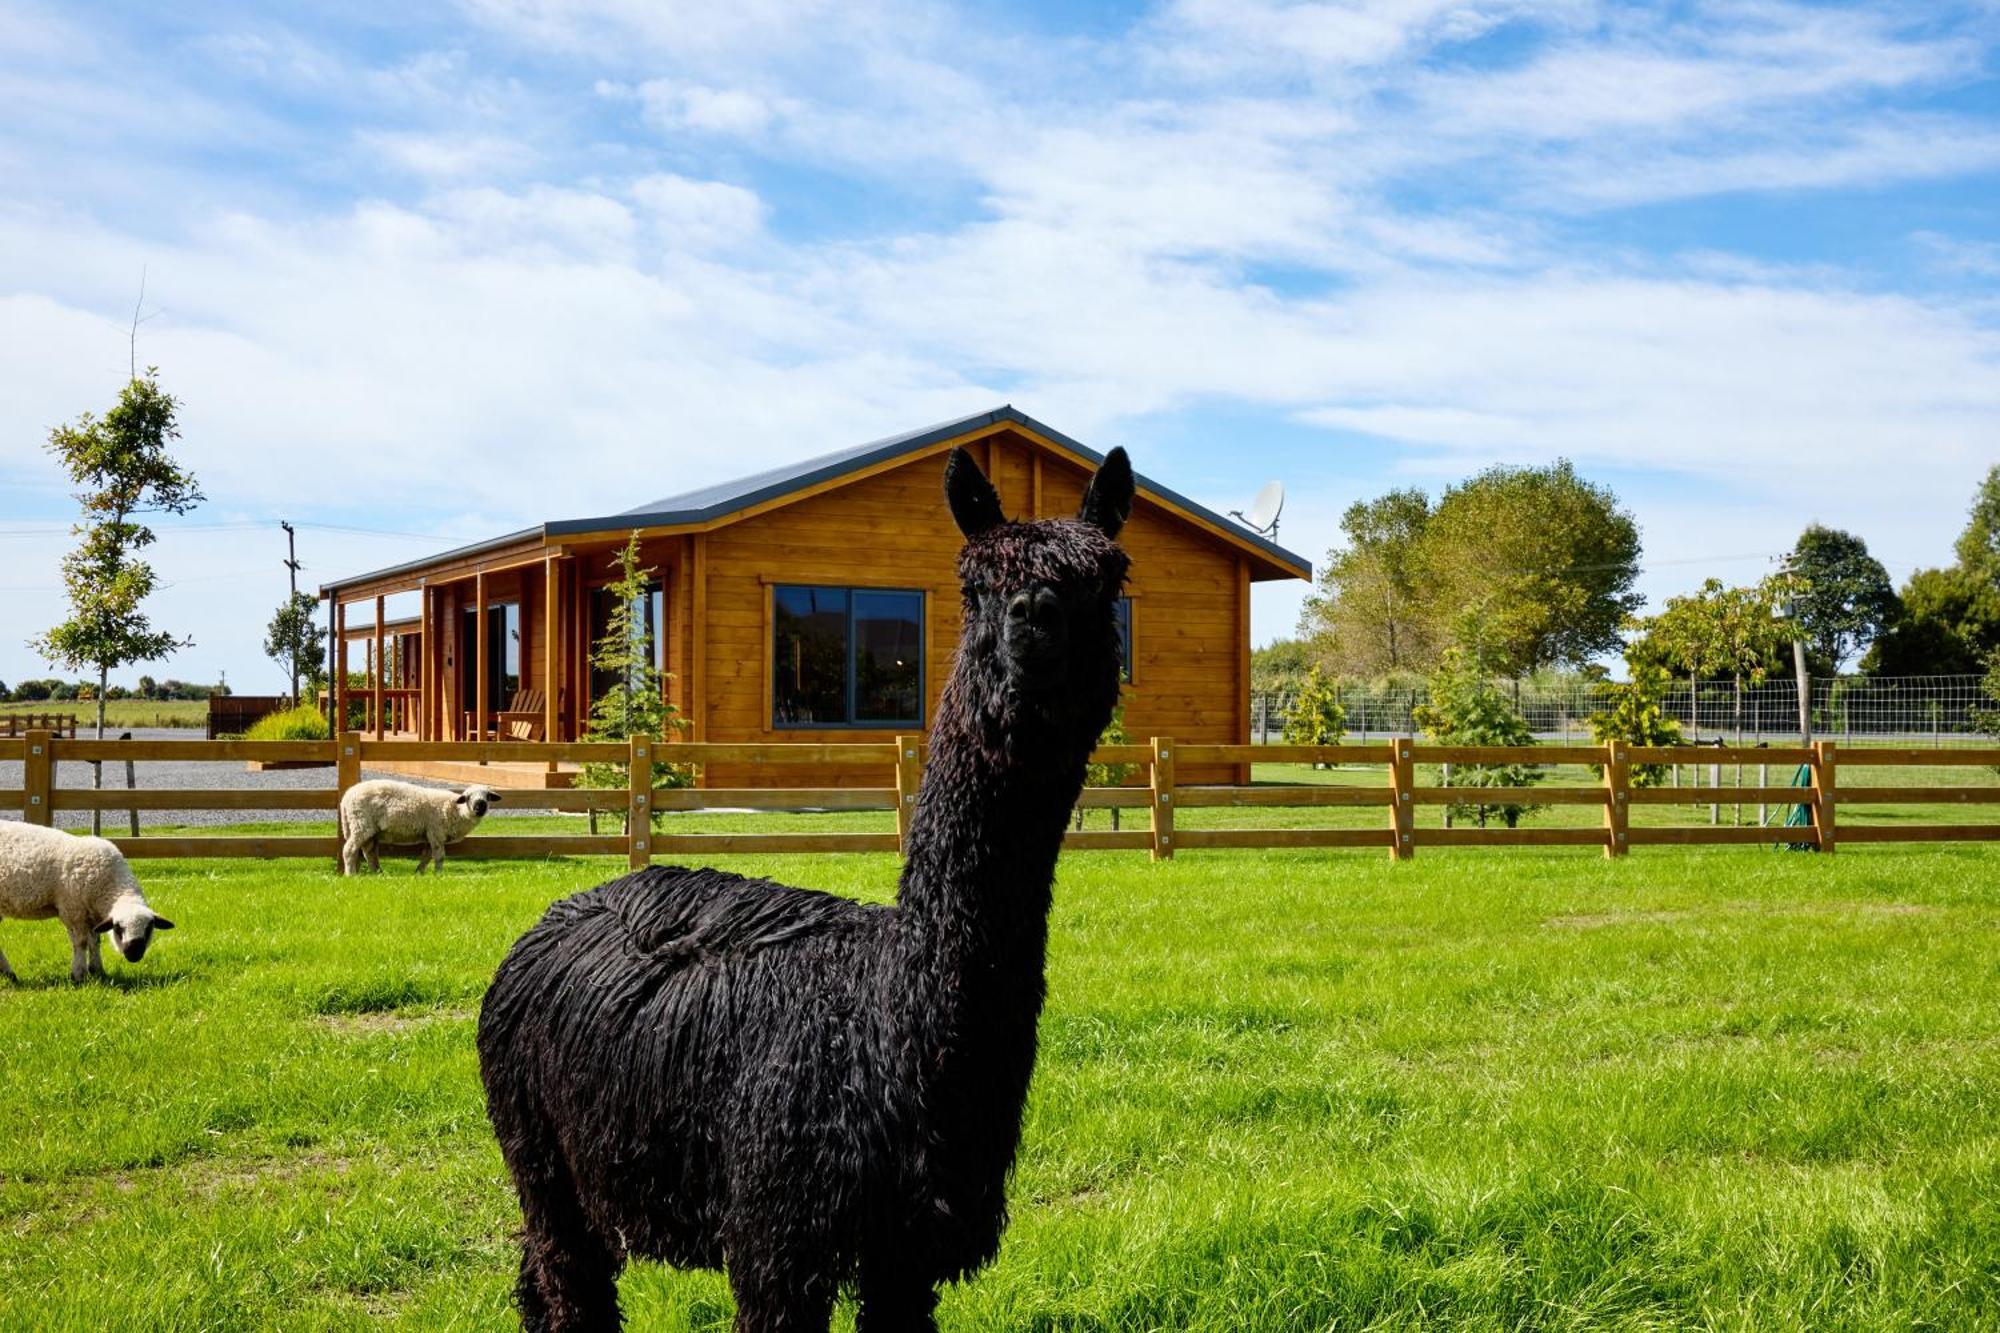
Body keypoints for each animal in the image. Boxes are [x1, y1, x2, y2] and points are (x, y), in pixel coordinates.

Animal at [0, 816, 177, 980]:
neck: (108, 883)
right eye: (118, 928)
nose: (133, 954)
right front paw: (78, 975)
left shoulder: (92, 915)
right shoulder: (73, 911)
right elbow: (81, 942)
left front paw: (97, 971)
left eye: (149, 928)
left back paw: (9, 974)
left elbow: (95, 941)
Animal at [336, 780, 500, 872]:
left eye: (487, 796)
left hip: (370, 830)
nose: (480, 807)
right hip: (360, 824)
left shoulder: (430, 835)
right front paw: (438, 875)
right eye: (468, 797)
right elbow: (439, 857)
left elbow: (427, 856)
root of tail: (346, 797)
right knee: (349, 850)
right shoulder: (436, 832)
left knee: (369, 852)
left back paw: (377, 873)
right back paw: (351, 875)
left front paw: (419, 873)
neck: (456, 810)